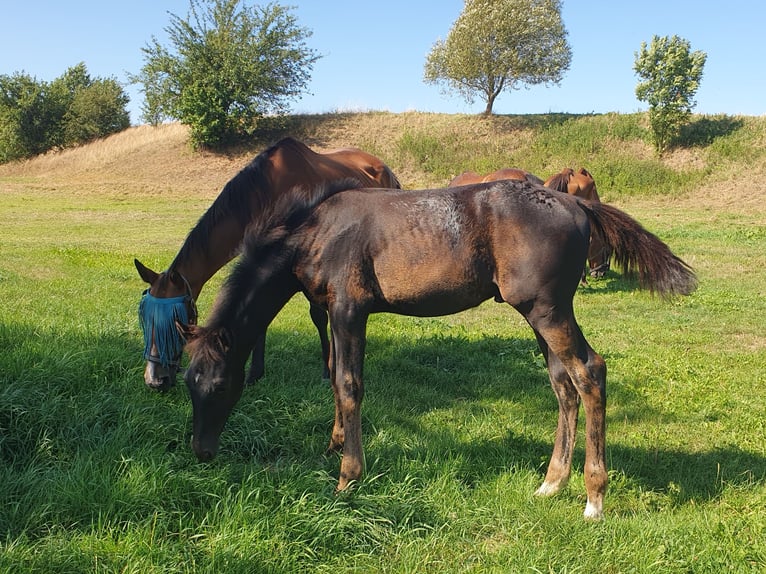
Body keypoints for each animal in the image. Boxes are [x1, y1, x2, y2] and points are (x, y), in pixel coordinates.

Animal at [136, 137, 404, 394]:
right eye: (145, 319)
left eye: (174, 321)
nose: (154, 380)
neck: (268, 192)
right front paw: (255, 373)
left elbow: (318, 316)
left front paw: (327, 369)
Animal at [178, 178, 696, 520]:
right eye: (188, 384)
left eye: (221, 385)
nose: (201, 451)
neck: (317, 230)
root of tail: (573, 201)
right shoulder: (333, 313)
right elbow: (333, 376)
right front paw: (334, 444)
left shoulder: (350, 308)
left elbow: (348, 383)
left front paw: (348, 478)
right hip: (539, 314)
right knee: (562, 385)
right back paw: (551, 483)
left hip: (548, 310)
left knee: (590, 372)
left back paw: (593, 498)